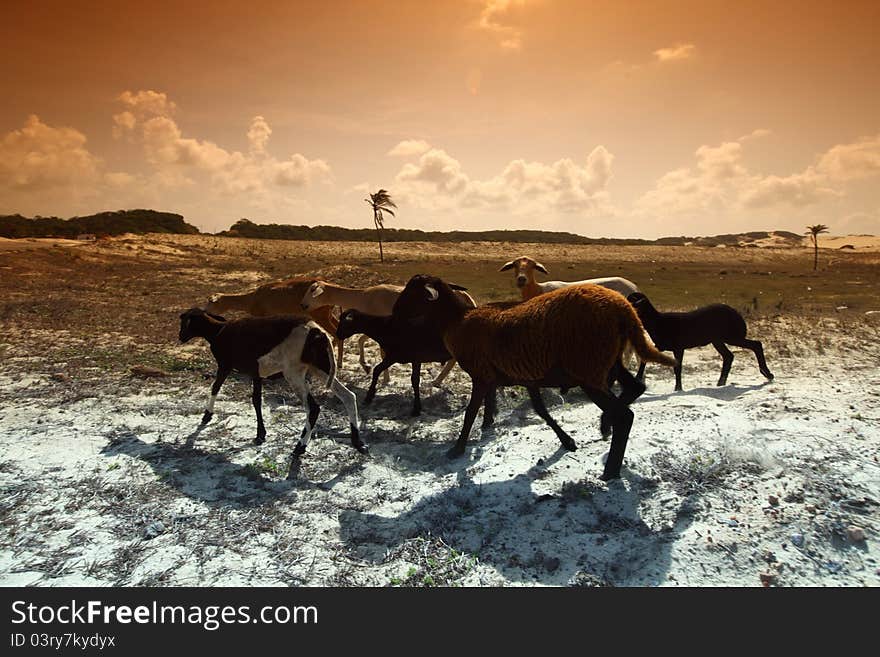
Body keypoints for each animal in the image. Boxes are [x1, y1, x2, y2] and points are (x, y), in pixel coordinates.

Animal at [179, 308, 368, 456]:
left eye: (184, 323)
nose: (180, 337)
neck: (218, 331)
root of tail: (317, 332)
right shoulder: (256, 373)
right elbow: (256, 400)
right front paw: (260, 434)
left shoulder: (225, 365)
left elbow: (215, 387)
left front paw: (206, 416)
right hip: (320, 367)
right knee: (348, 396)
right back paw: (358, 442)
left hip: (294, 372)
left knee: (313, 408)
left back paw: (299, 447)